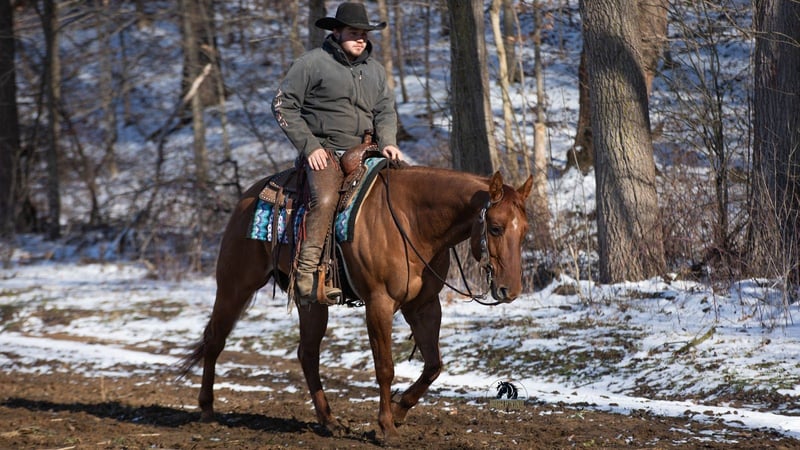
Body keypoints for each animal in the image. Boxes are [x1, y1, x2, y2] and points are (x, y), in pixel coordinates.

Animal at [179, 164, 533, 442]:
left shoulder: (424, 306)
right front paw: (386, 427)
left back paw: (330, 422)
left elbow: (433, 365)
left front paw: (400, 412)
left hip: (312, 303)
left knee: (307, 355)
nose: (510, 290)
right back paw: (207, 409)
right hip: (235, 285)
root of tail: (247, 197)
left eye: (524, 231)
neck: (412, 221)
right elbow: (385, 367)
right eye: (496, 228)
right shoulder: (379, 303)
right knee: (215, 341)